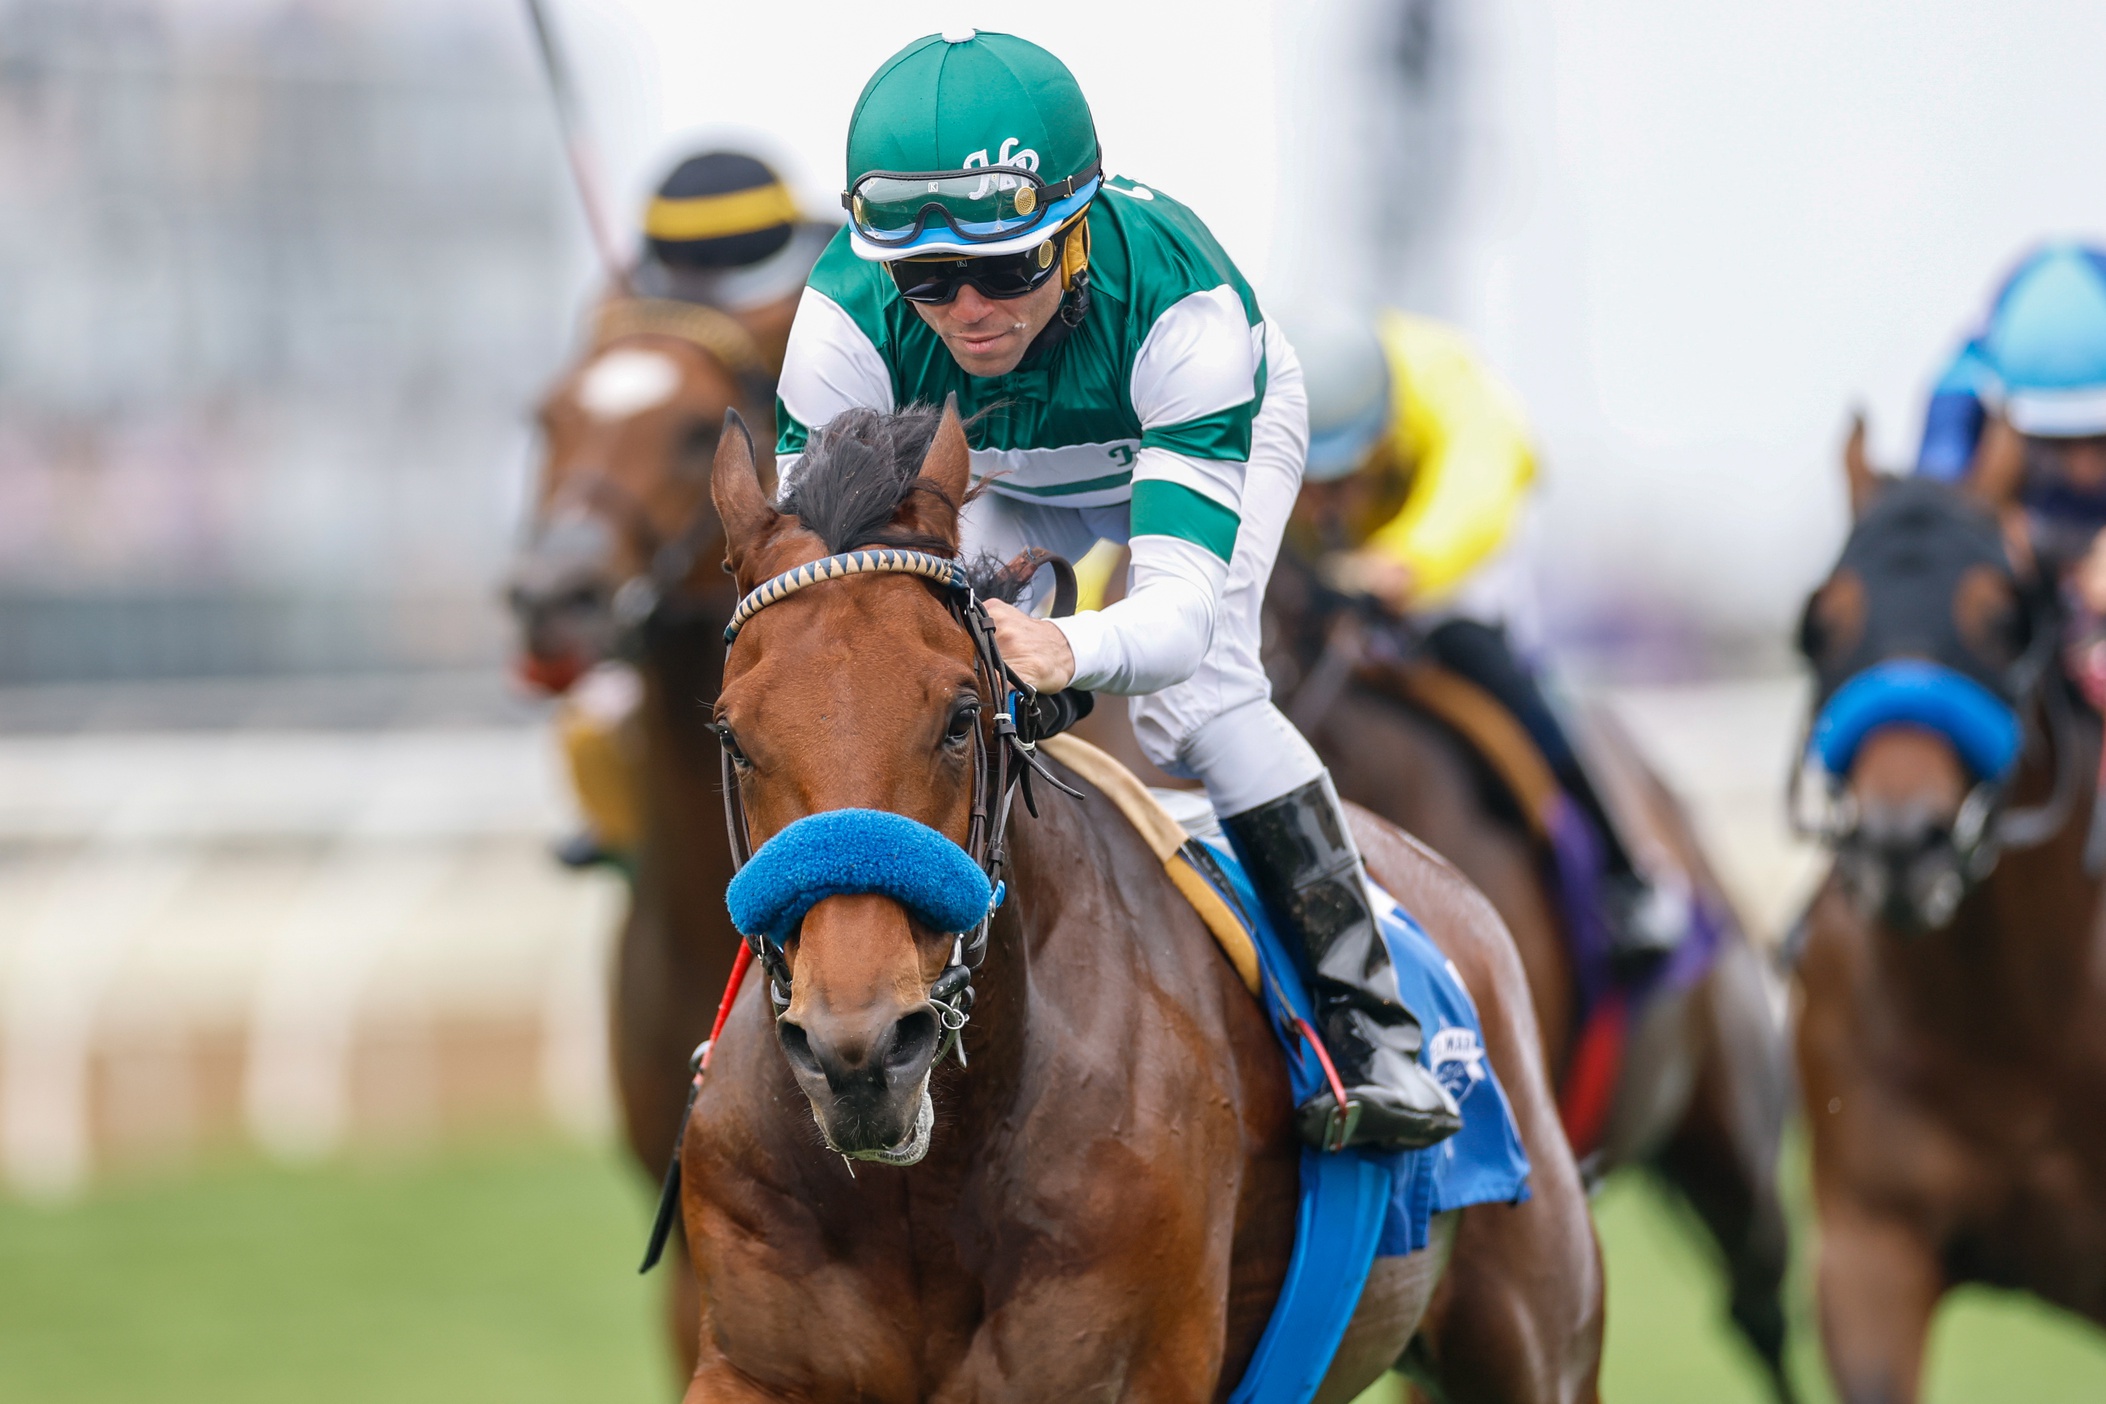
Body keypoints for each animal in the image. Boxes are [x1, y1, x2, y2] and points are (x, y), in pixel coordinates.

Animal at [676, 401, 1603, 1403]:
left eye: (961, 718)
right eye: (732, 736)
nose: (861, 1051)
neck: (926, 1184)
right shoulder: (751, 1364)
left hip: (1536, 1336)